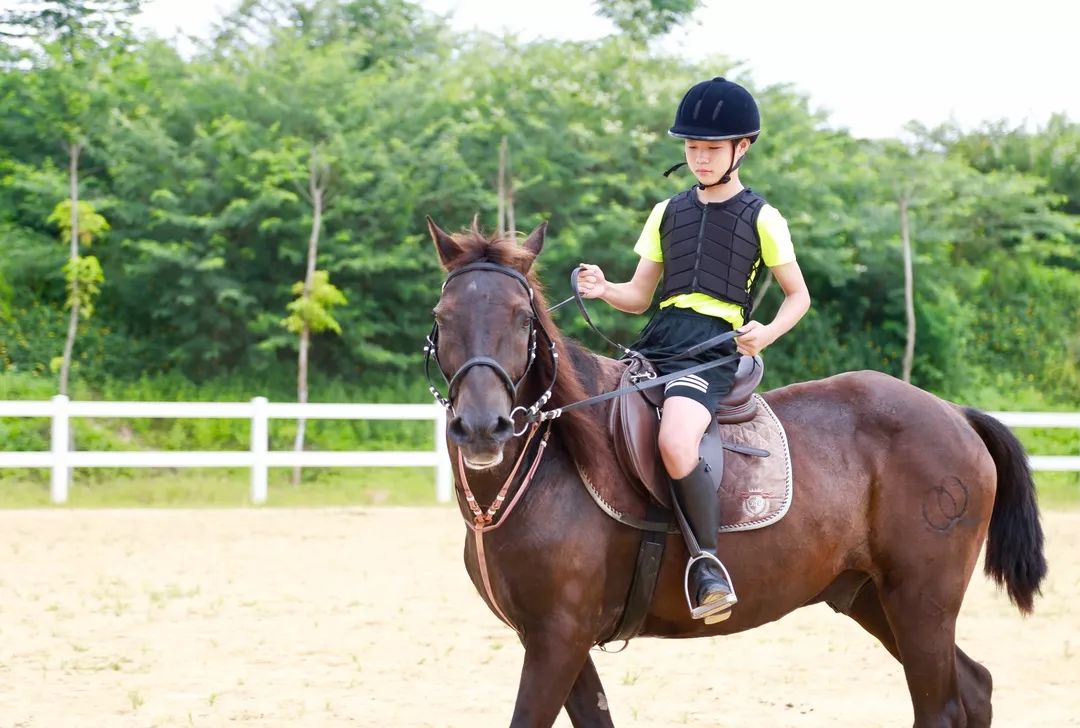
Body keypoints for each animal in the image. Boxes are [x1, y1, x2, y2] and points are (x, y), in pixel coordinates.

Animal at [423, 217, 1045, 725]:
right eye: (442, 317)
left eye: (521, 317)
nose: (482, 427)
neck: (548, 471)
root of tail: (953, 413)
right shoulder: (554, 640)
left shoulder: (559, 637)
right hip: (873, 597)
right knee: (976, 688)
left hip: (921, 601)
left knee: (941, 707)